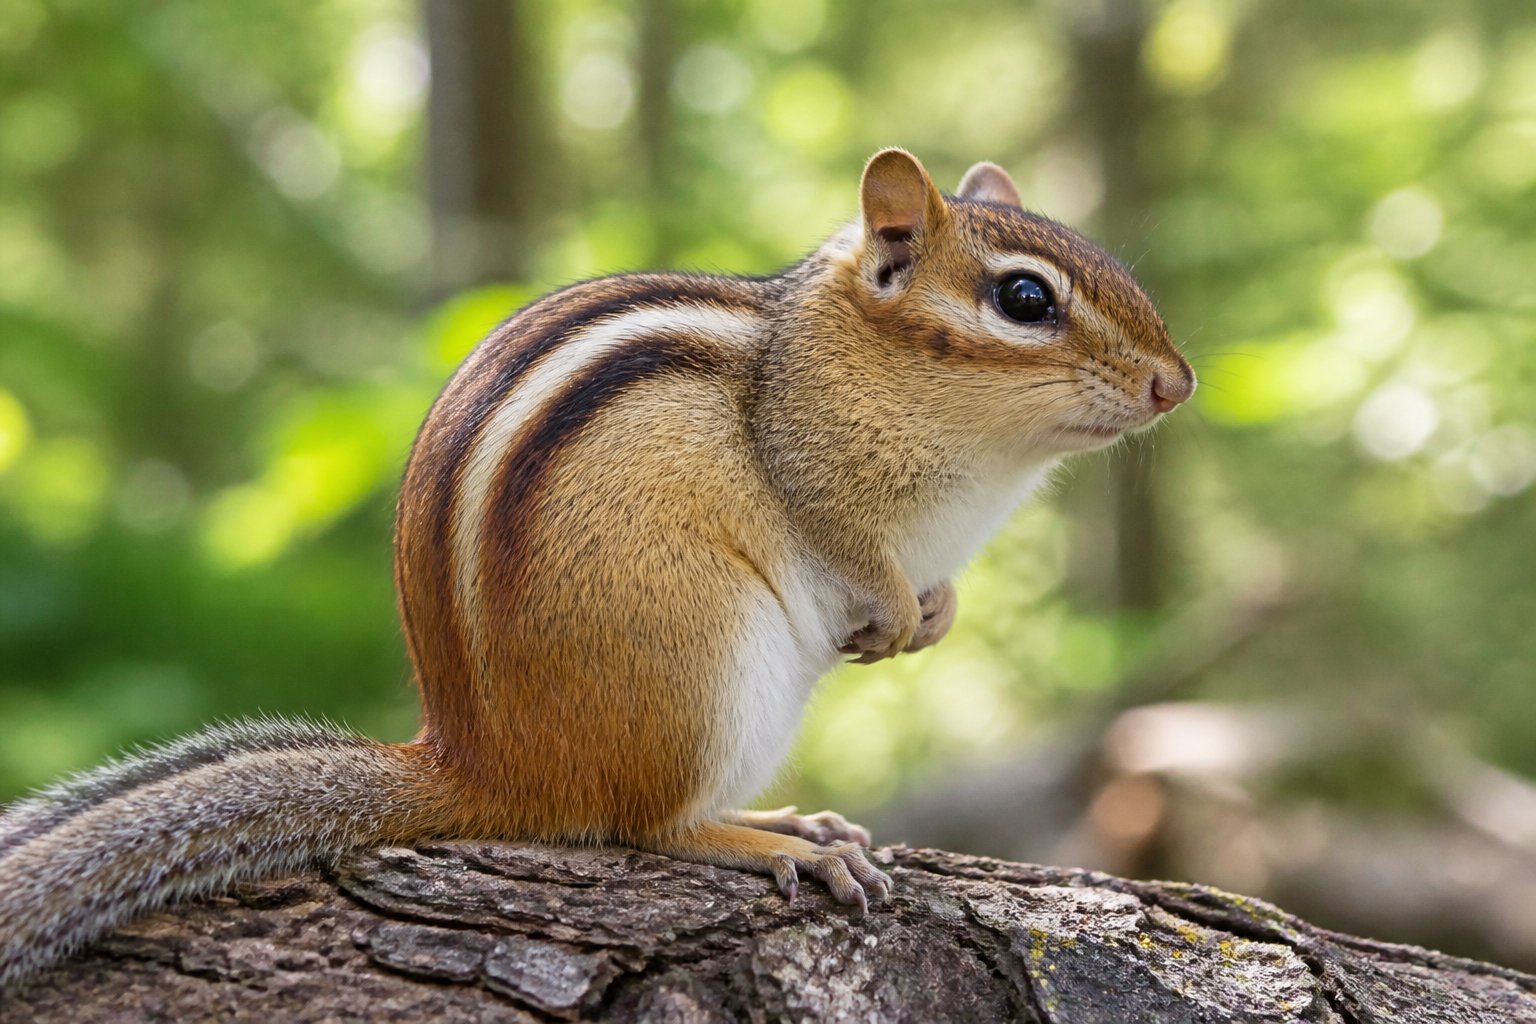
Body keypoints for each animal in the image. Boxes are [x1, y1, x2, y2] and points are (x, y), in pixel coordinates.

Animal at [0, 149, 1193, 988]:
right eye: (1025, 300)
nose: (1177, 384)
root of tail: (486, 767)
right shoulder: (816, 476)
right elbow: (850, 546)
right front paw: (900, 611)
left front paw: (933, 615)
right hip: (709, 661)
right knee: (647, 826)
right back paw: (770, 843)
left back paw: (793, 821)